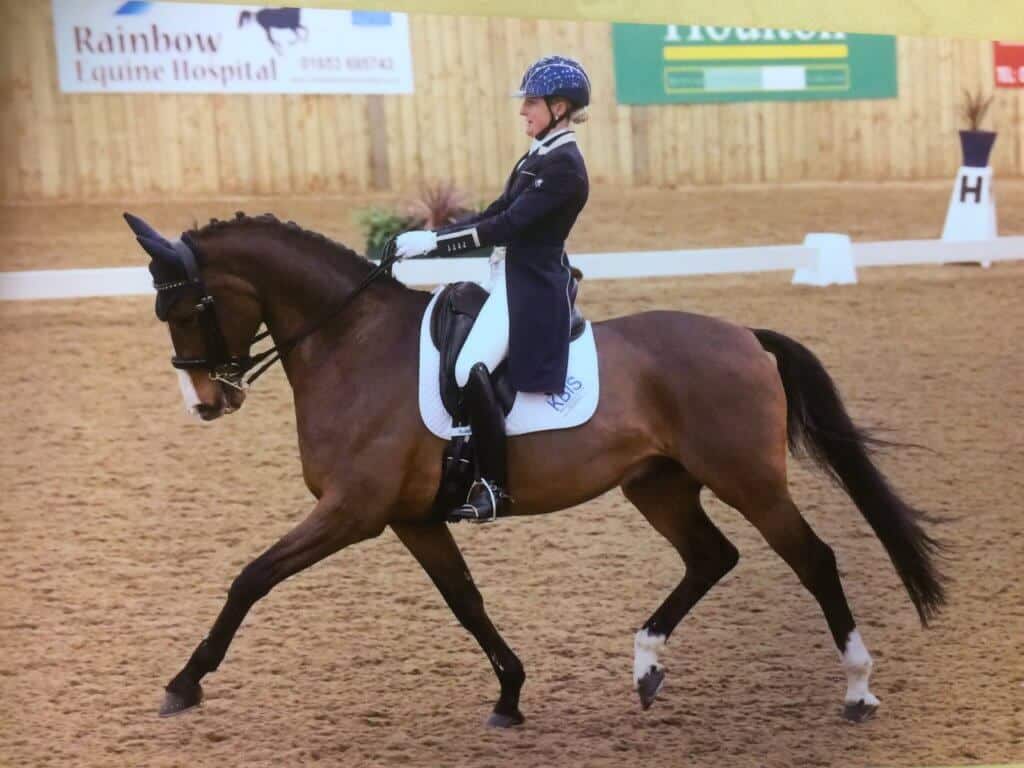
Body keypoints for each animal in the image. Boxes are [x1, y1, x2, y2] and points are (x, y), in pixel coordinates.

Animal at [124, 211, 945, 727]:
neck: (352, 345)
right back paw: (646, 667)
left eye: (188, 308)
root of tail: (743, 333)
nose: (205, 402)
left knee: (814, 559)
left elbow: (252, 577)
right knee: (713, 556)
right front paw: (510, 697)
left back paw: (858, 690)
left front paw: (183, 684)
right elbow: (466, 602)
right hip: (658, 483)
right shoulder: (411, 519)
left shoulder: (352, 512)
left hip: (749, 480)